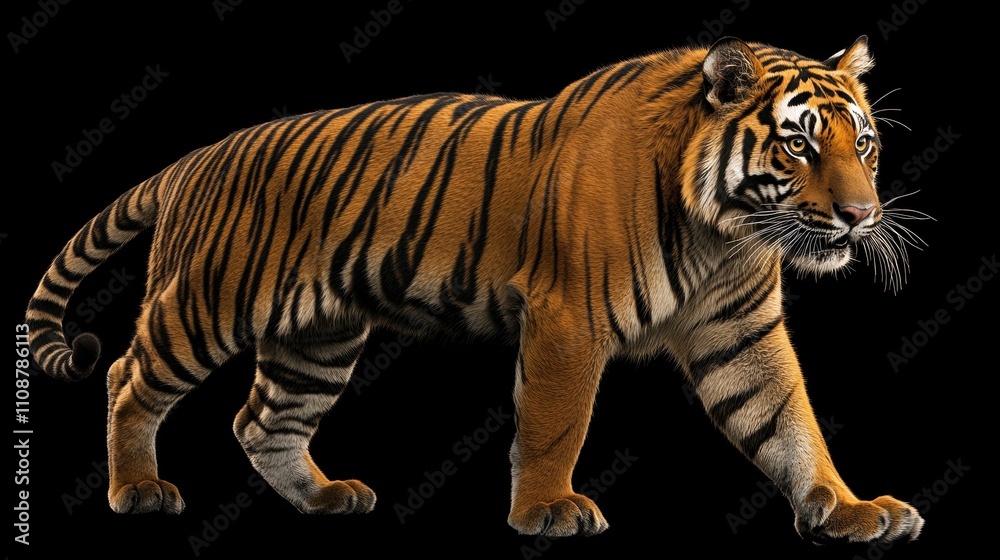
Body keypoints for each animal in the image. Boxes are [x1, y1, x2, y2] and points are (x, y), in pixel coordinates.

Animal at [25, 35, 926, 544]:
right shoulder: (569, 317)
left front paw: (848, 510)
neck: (722, 230)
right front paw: (548, 512)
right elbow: (557, 423)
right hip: (209, 303)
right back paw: (138, 491)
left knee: (262, 421)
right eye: (799, 145)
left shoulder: (741, 332)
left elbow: (790, 424)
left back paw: (325, 498)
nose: (862, 216)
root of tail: (197, 157)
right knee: (127, 377)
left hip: (317, 337)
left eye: (864, 144)